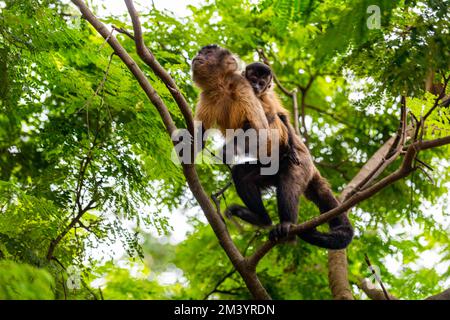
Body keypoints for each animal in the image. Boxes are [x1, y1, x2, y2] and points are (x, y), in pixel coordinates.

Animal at [192, 45, 354, 250]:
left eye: (208, 53)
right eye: (201, 52)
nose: (198, 56)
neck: (222, 87)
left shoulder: (242, 87)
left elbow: (264, 127)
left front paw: (225, 152)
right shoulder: (208, 95)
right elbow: (199, 137)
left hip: (301, 164)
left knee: (288, 181)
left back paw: (287, 225)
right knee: (242, 174)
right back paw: (261, 219)